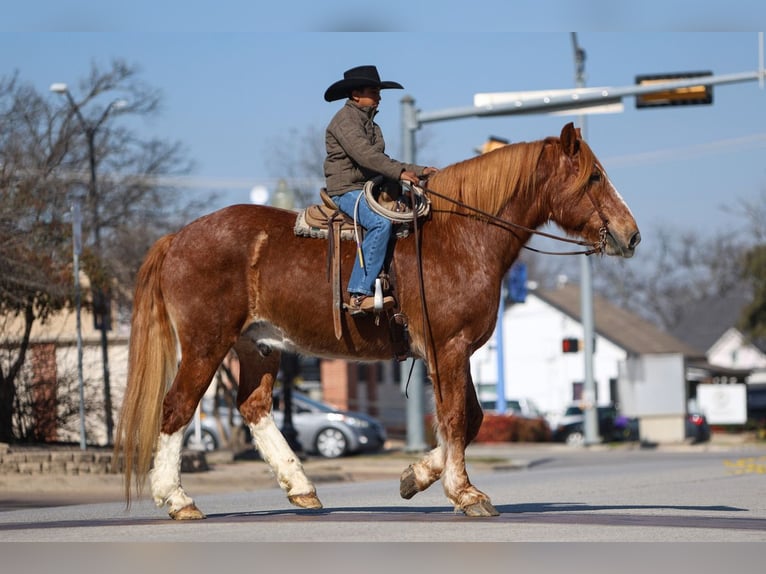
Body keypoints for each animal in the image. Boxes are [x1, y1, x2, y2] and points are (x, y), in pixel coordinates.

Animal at [114, 122, 640, 520]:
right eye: (594, 177)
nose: (631, 235)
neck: (461, 236)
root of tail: (178, 237)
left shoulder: (456, 351)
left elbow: (471, 418)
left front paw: (416, 476)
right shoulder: (448, 348)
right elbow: (455, 418)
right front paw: (465, 493)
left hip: (258, 345)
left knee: (254, 406)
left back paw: (300, 487)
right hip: (206, 344)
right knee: (177, 409)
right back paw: (177, 499)